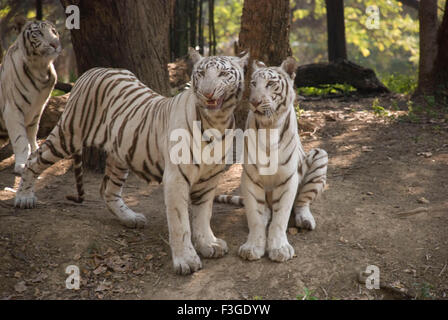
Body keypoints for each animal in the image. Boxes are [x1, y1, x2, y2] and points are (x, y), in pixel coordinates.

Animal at [0, 19, 60, 175]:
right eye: (38, 32)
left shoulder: (38, 108)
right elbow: (20, 139)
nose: (55, 44)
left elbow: (33, 133)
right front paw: (21, 165)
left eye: (54, 31)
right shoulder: (12, 110)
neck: (40, 69)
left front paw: (34, 154)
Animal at [14, 48, 250, 276]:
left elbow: (203, 215)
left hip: (120, 155)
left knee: (108, 190)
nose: (207, 93)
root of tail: (95, 69)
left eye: (223, 74)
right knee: (33, 159)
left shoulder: (209, 178)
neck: (216, 122)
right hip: (68, 135)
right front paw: (186, 261)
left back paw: (130, 218)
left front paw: (208, 244)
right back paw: (24, 197)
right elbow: (180, 223)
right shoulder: (176, 178)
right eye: (201, 74)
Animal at [215, 57, 328, 262]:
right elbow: (255, 217)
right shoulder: (250, 178)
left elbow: (281, 218)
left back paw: (305, 219)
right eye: (253, 84)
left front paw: (279, 249)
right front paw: (252, 247)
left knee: (301, 202)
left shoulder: (288, 178)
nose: (254, 102)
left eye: (270, 84)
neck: (268, 127)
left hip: (320, 154)